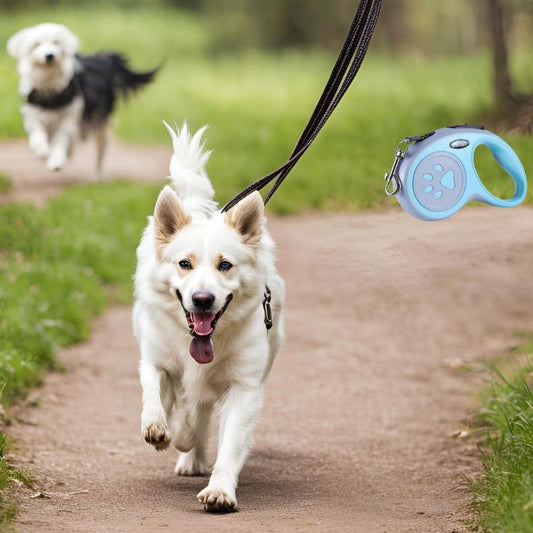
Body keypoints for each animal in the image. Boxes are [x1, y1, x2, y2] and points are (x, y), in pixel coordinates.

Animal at [7, 23, 158, 177]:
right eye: (36, 44)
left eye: (56, 43)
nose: (49, 55)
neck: (51, 90)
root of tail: (103, 60)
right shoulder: (33, 115)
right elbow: (38, 135)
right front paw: (42, 150)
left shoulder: (68, 120)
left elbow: (60, 142)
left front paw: (56, 162)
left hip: (99, 123)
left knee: (100, 150)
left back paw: (96, 175)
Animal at [132, 121, 284, 512]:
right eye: (184, 263)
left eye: (225, 265)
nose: (202, 300)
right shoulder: (156, 359)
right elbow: (153, 394)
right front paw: (158, 429)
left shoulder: (244, 386)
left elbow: (229, 444)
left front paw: (220, 491)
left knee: (199, 412)